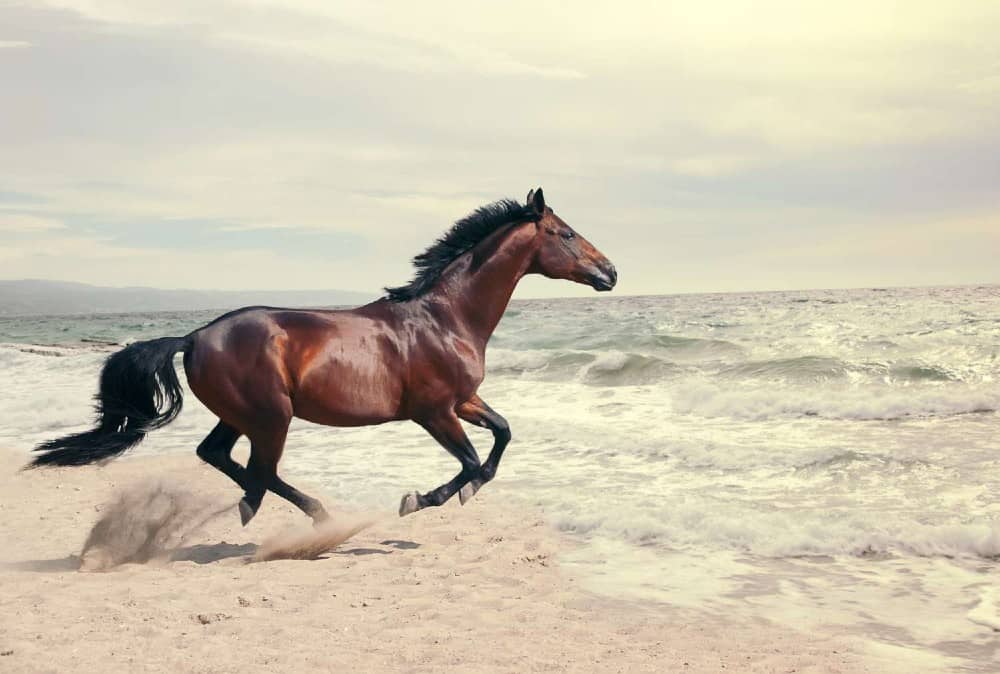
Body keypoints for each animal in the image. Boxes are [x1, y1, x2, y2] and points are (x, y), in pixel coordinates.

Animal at [31, 186, 616, 524]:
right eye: (566, 234)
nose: (611, 273)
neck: (446, 317)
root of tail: (195, 336)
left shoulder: (464, 400)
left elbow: (502, 436)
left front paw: (462, 493)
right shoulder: (433, 411)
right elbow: (471, 460)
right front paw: (421, 500)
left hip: (242, 415)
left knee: (221, 456)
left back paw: (269, 507)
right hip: (272, 415)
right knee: (258, 469)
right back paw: (303, 512)